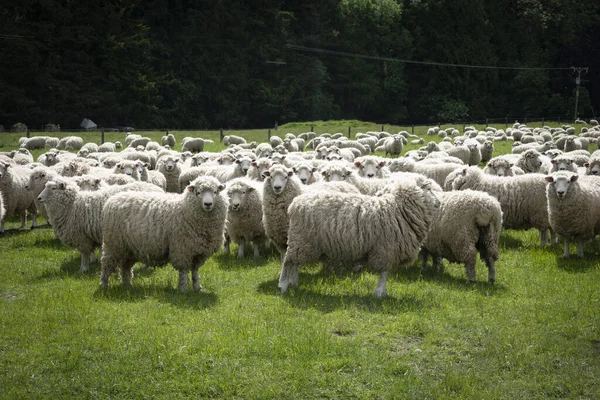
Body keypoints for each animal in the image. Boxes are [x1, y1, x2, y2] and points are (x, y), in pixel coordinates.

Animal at [278, 178, 438, 296]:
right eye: (429, 189)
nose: (439, 203)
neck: (398, 209)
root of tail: (295, 204)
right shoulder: (385, 250)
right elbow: (384, 273)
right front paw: (380, 293)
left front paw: (382, 292)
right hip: (301, 240)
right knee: (288, 262)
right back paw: (283, 285)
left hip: (302, 243)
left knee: (294, 263)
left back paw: (293, 283)